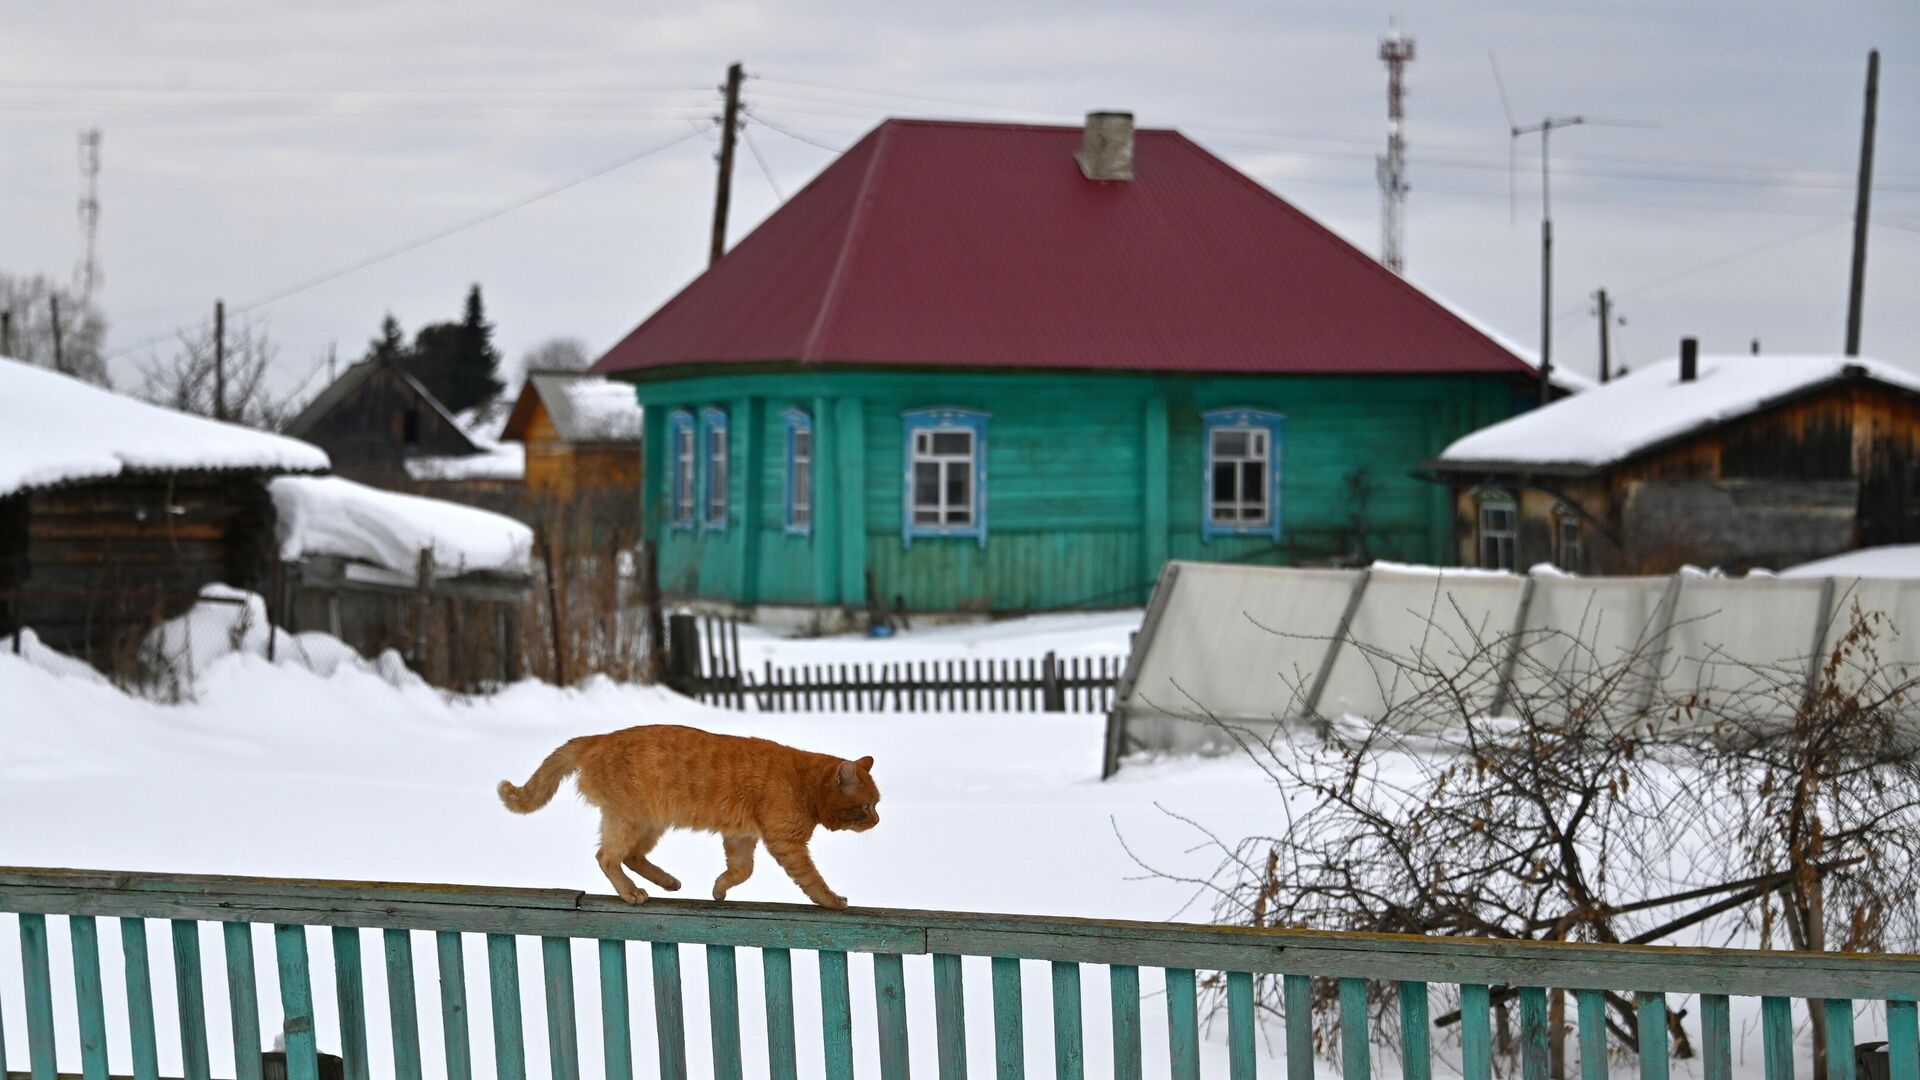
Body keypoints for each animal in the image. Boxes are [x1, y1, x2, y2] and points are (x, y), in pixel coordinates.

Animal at [499, 722, 879, 907]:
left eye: (876, 804)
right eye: (866, 806)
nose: (877, 821)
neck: (803, 781)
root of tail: (597, 738)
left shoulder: (741, 837)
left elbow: (742, 870)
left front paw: (719, 890)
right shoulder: (786, 842)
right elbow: (812, 880)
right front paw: (832, 900)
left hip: (648, 823)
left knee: (631, 856)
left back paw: (668, 882)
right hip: (629, 819)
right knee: (607, 857)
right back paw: (631, 892)